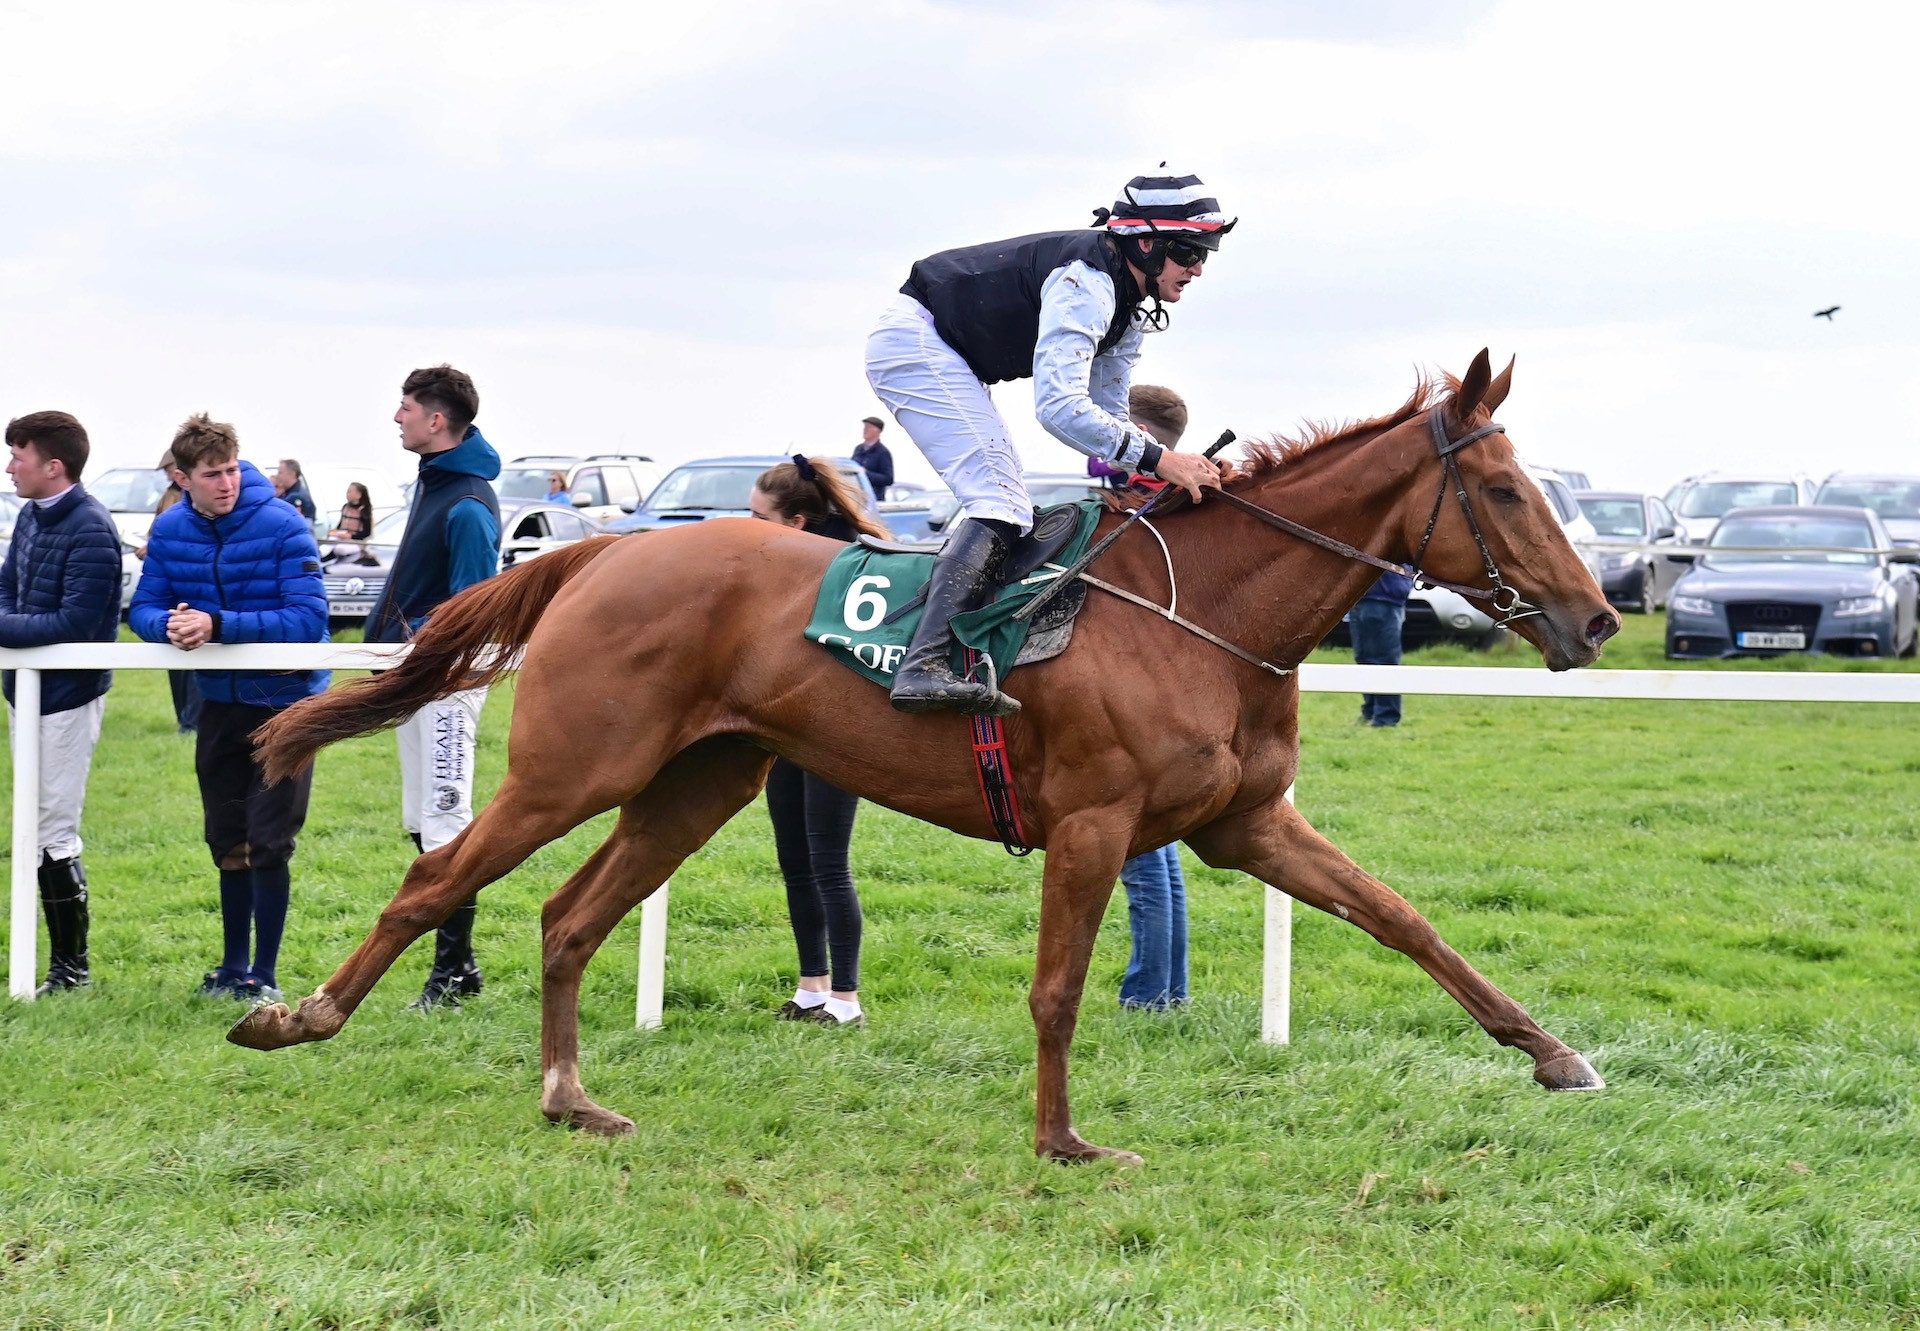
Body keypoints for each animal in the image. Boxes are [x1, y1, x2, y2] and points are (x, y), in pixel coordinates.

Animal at [240, 347, 1620, 1160]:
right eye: (1505, 492)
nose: (1598, 616)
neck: (1201, 618)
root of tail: (592, 552)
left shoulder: (1247, 824)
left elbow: (1403, 919)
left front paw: (1556, 1052)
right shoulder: (1093, 824)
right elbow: (1058, 988)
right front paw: (1064, 1140)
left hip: (696, 784)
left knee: (569, 917)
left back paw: (570, 1093)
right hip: (573, 770)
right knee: (439, 879)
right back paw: (296, 1013)